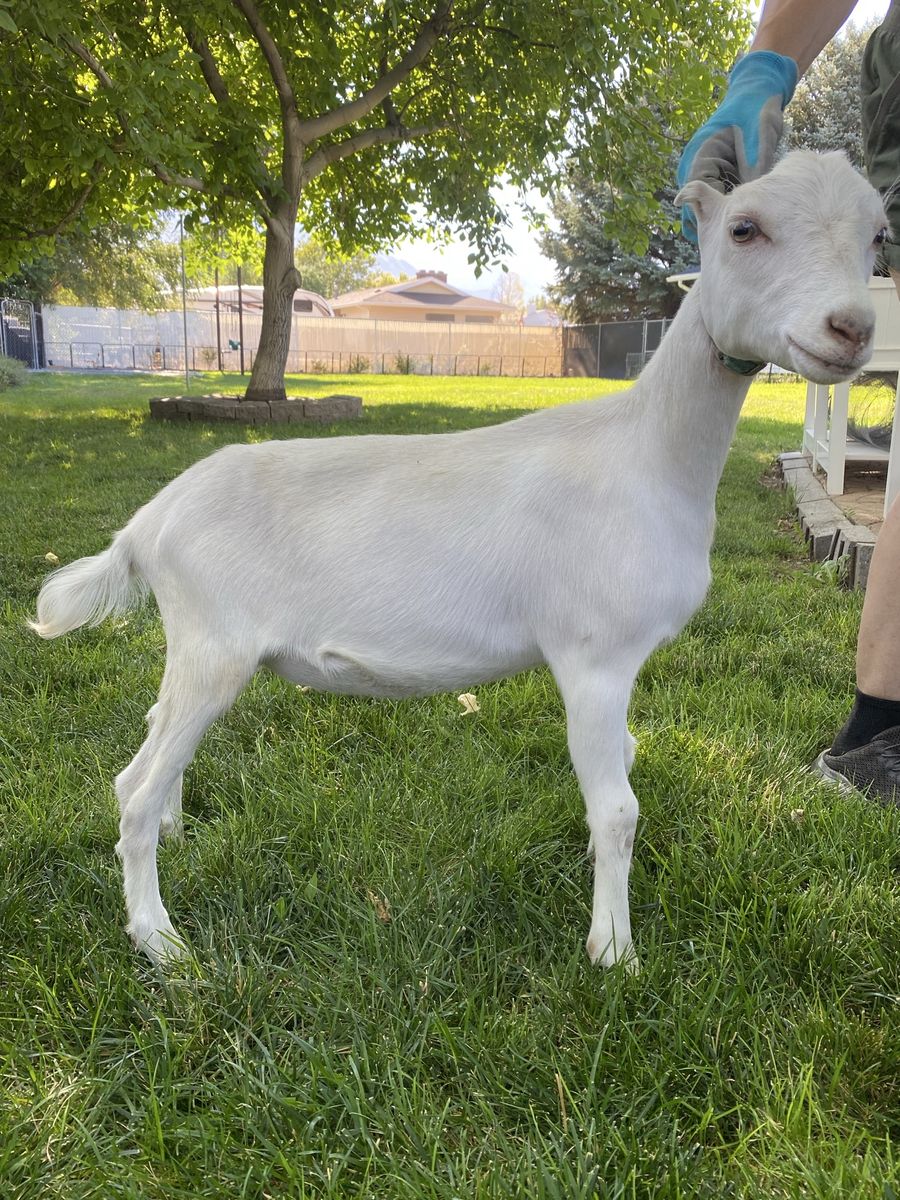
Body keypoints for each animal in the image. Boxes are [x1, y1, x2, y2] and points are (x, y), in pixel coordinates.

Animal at [31, 151, 885, 968]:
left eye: (878, 234)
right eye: (743, 229)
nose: (850, 328)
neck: (647, 454)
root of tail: (147, 524)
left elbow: (626, 764)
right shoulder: (594, 655)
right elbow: (618, 810)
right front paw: (614, 953)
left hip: (197, 651)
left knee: (154, 741)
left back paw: (176, 841)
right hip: (214, 644)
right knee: (132, 788)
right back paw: (160, 941)